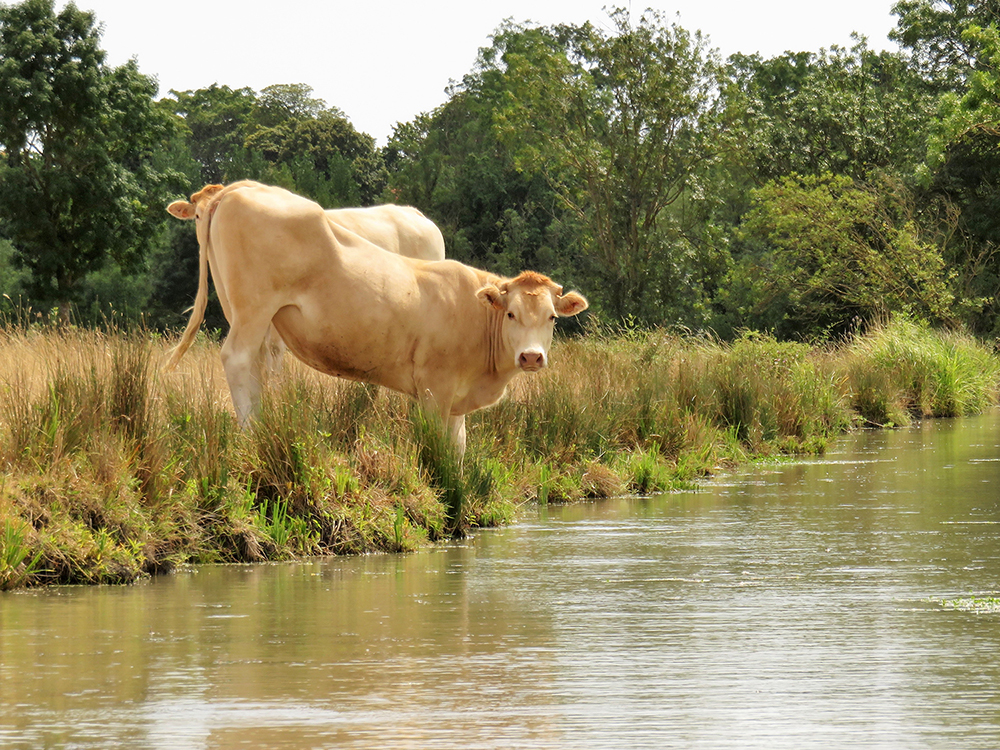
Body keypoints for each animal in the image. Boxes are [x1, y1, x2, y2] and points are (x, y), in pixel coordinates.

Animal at [165, 181, 588, 456]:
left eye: (552, 318)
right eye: (512, 313)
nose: (531, 357)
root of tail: (241, 187)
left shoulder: (456, 401)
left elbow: (458, 450)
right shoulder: (434, 388)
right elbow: (437, 454)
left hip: (241, 310)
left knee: (254, 366)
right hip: (255, 310)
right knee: (237, 360)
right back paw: (253, 432)